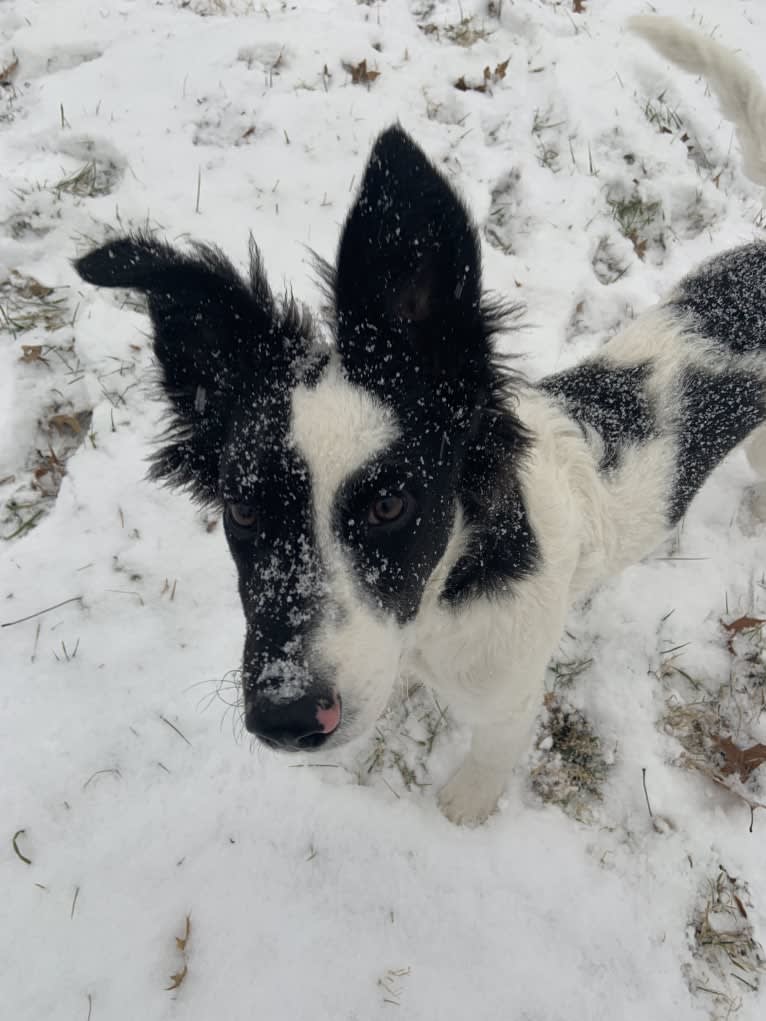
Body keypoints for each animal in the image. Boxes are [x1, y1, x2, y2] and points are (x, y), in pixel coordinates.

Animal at [76, 19, 766, 824]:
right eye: (241, 509)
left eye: (389, 504)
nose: (286, 718)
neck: (451, 588)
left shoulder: (507, 695)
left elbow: (489, 756)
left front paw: (463, 810)